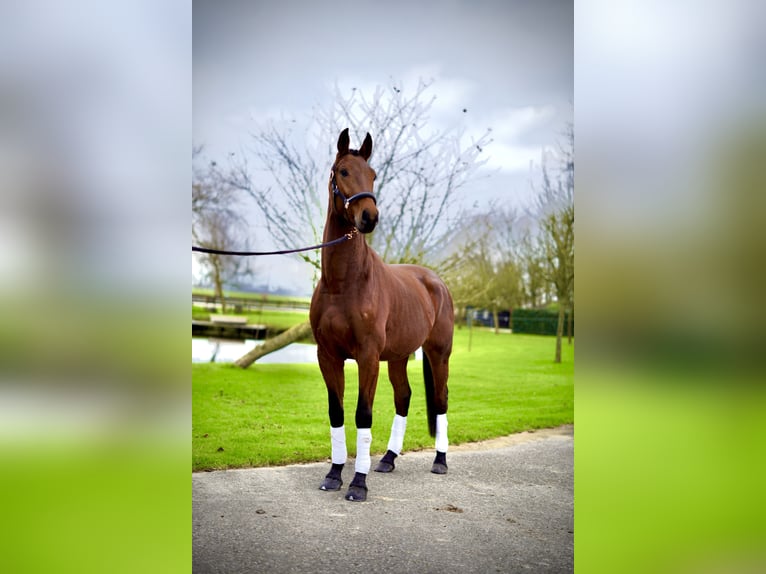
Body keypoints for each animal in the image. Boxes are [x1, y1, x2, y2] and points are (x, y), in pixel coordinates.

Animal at [310, 129, 456, 504]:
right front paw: (334, 474)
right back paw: (389, 458)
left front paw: (357, 484)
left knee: (441, 399)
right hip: (399, 357)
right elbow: (336, 411)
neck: (344, 283)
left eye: (373, 174)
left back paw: (440, 461)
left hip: (438, 354)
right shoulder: (328, 356)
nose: (369, 217)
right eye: (343, 171)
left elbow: (363, 414)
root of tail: (435, 282)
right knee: (404, 397)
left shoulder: (367, 357)